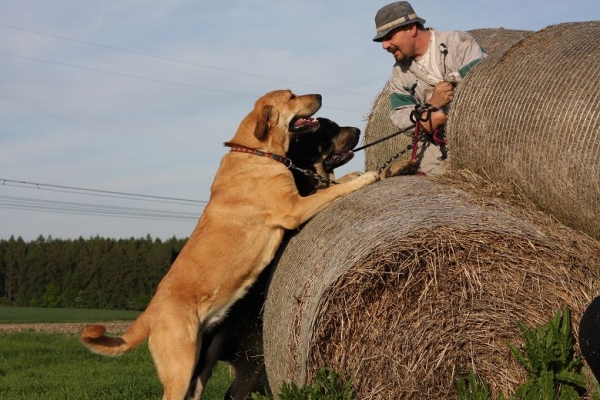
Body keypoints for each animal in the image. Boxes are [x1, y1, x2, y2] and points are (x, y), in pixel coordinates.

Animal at [80, 90, 378, 400]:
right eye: (292, 96)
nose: (319, 94)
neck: (257, 152)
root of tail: (148, 314)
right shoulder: (294, 209)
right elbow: (333, 190)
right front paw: (368, 177)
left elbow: (334, 183)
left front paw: (357, 174)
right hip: (180, 368)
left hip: (199, 367)